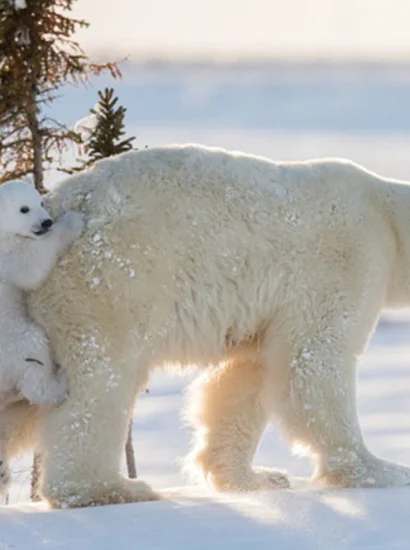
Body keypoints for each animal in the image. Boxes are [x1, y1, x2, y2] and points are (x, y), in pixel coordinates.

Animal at [1, 143, 408, 508]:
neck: (388, 217)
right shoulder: (346, 259)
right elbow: (313, 360)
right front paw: (383, 470)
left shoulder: (265, 313)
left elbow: (244, 377)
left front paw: (256, 478)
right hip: (106, 285)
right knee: (99, 383)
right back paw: (111, 489)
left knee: (25, 398)